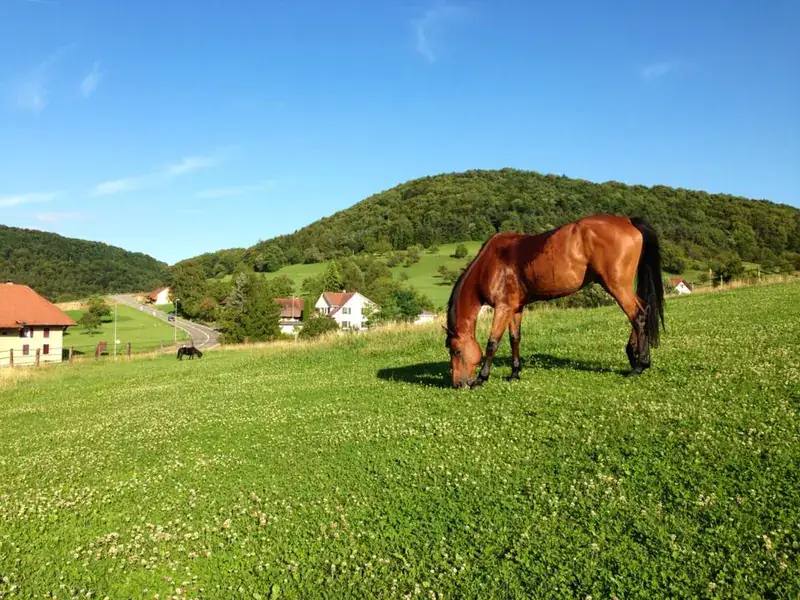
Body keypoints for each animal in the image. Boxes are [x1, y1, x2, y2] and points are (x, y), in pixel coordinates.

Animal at [444, 214, 665, 389]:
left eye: (456, 350)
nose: (458, 384)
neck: (491, 264)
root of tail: (627, 221)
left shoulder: (503, 308)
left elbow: (492, 343)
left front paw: (482, 379)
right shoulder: (515, 308)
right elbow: (515, 339)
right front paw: (514, 373)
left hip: (617, 286)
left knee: (638, 317)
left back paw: (640, 365)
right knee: (643, 311)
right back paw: (634, 356)